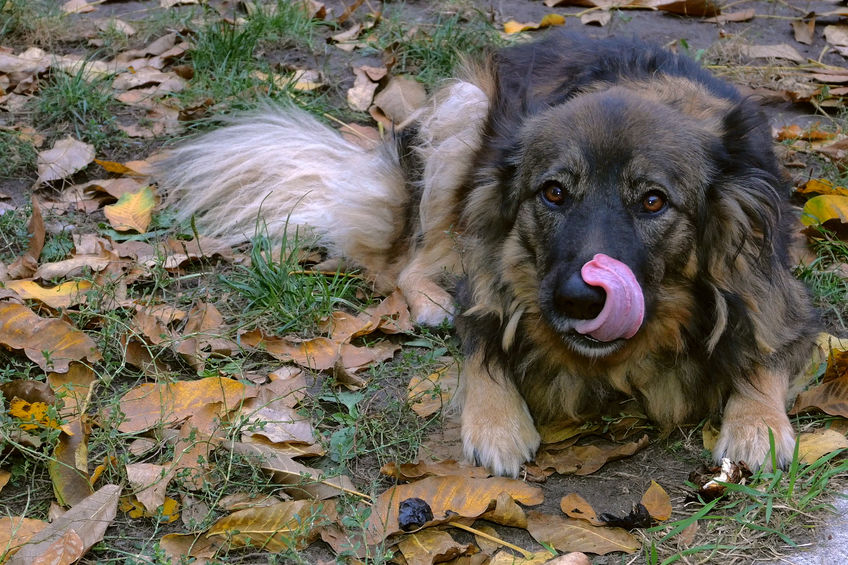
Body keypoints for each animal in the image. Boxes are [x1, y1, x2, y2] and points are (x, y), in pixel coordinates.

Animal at [156, 34, 820, 476]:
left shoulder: (784, 296)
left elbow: (764, 352)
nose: (580, 299)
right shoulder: (490, 280)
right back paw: (429, 297)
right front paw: (496, 424)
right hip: (466, 122)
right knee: (407, 259)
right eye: (553, 192)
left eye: (654, 201)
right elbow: (481, 344)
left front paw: (757, 426)